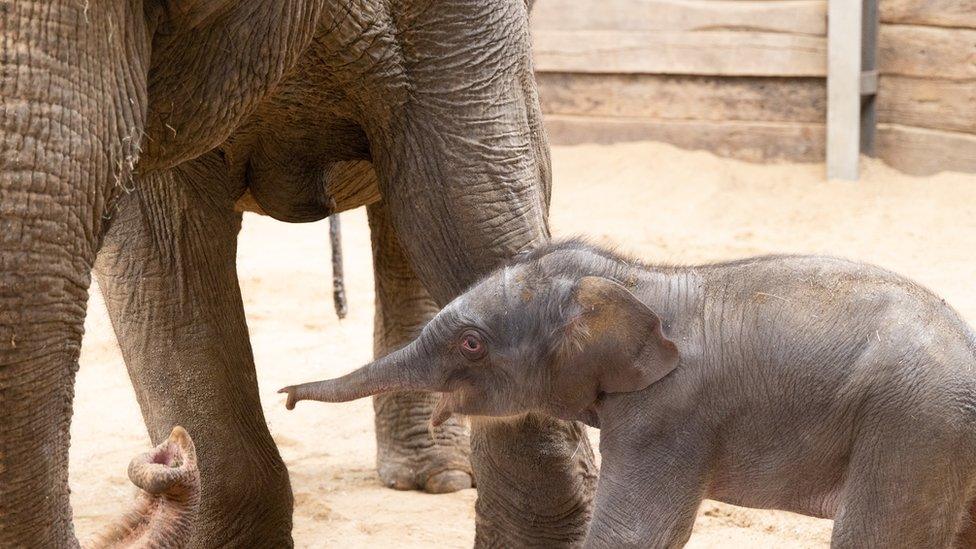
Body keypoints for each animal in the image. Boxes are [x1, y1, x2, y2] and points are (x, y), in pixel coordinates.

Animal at [282, 240, 976, 548]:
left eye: (472, 344)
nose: (285, 396)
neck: (636, 278)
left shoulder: (667, 416)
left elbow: (634, 534)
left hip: (913, 425)